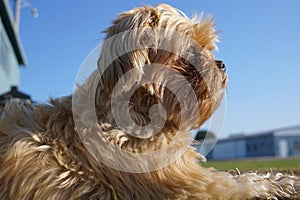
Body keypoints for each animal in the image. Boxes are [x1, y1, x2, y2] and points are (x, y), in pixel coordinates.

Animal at [0, 3, 298, 199]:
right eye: (190, 52)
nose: (222, 64)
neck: (139, 110)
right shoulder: (196, 187)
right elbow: (248, 181)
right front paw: (286, 182)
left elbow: (244, 175)